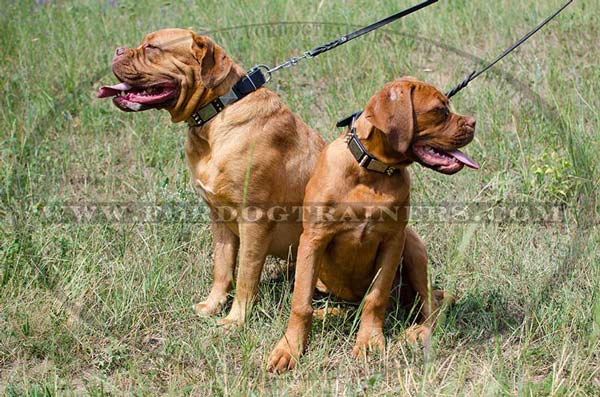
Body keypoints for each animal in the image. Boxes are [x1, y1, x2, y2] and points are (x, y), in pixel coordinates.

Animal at [268, 76, 478, 372]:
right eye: (440, 111)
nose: (474, 122)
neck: (370, 172)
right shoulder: (313, 239)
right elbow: (301, 302)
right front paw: (289, 348)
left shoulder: (393, 240)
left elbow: (375, 298)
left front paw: (368, 341)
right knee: (340, 307)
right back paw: (327, 314)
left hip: (413, 246)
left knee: (430, 308)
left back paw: (418, 331)